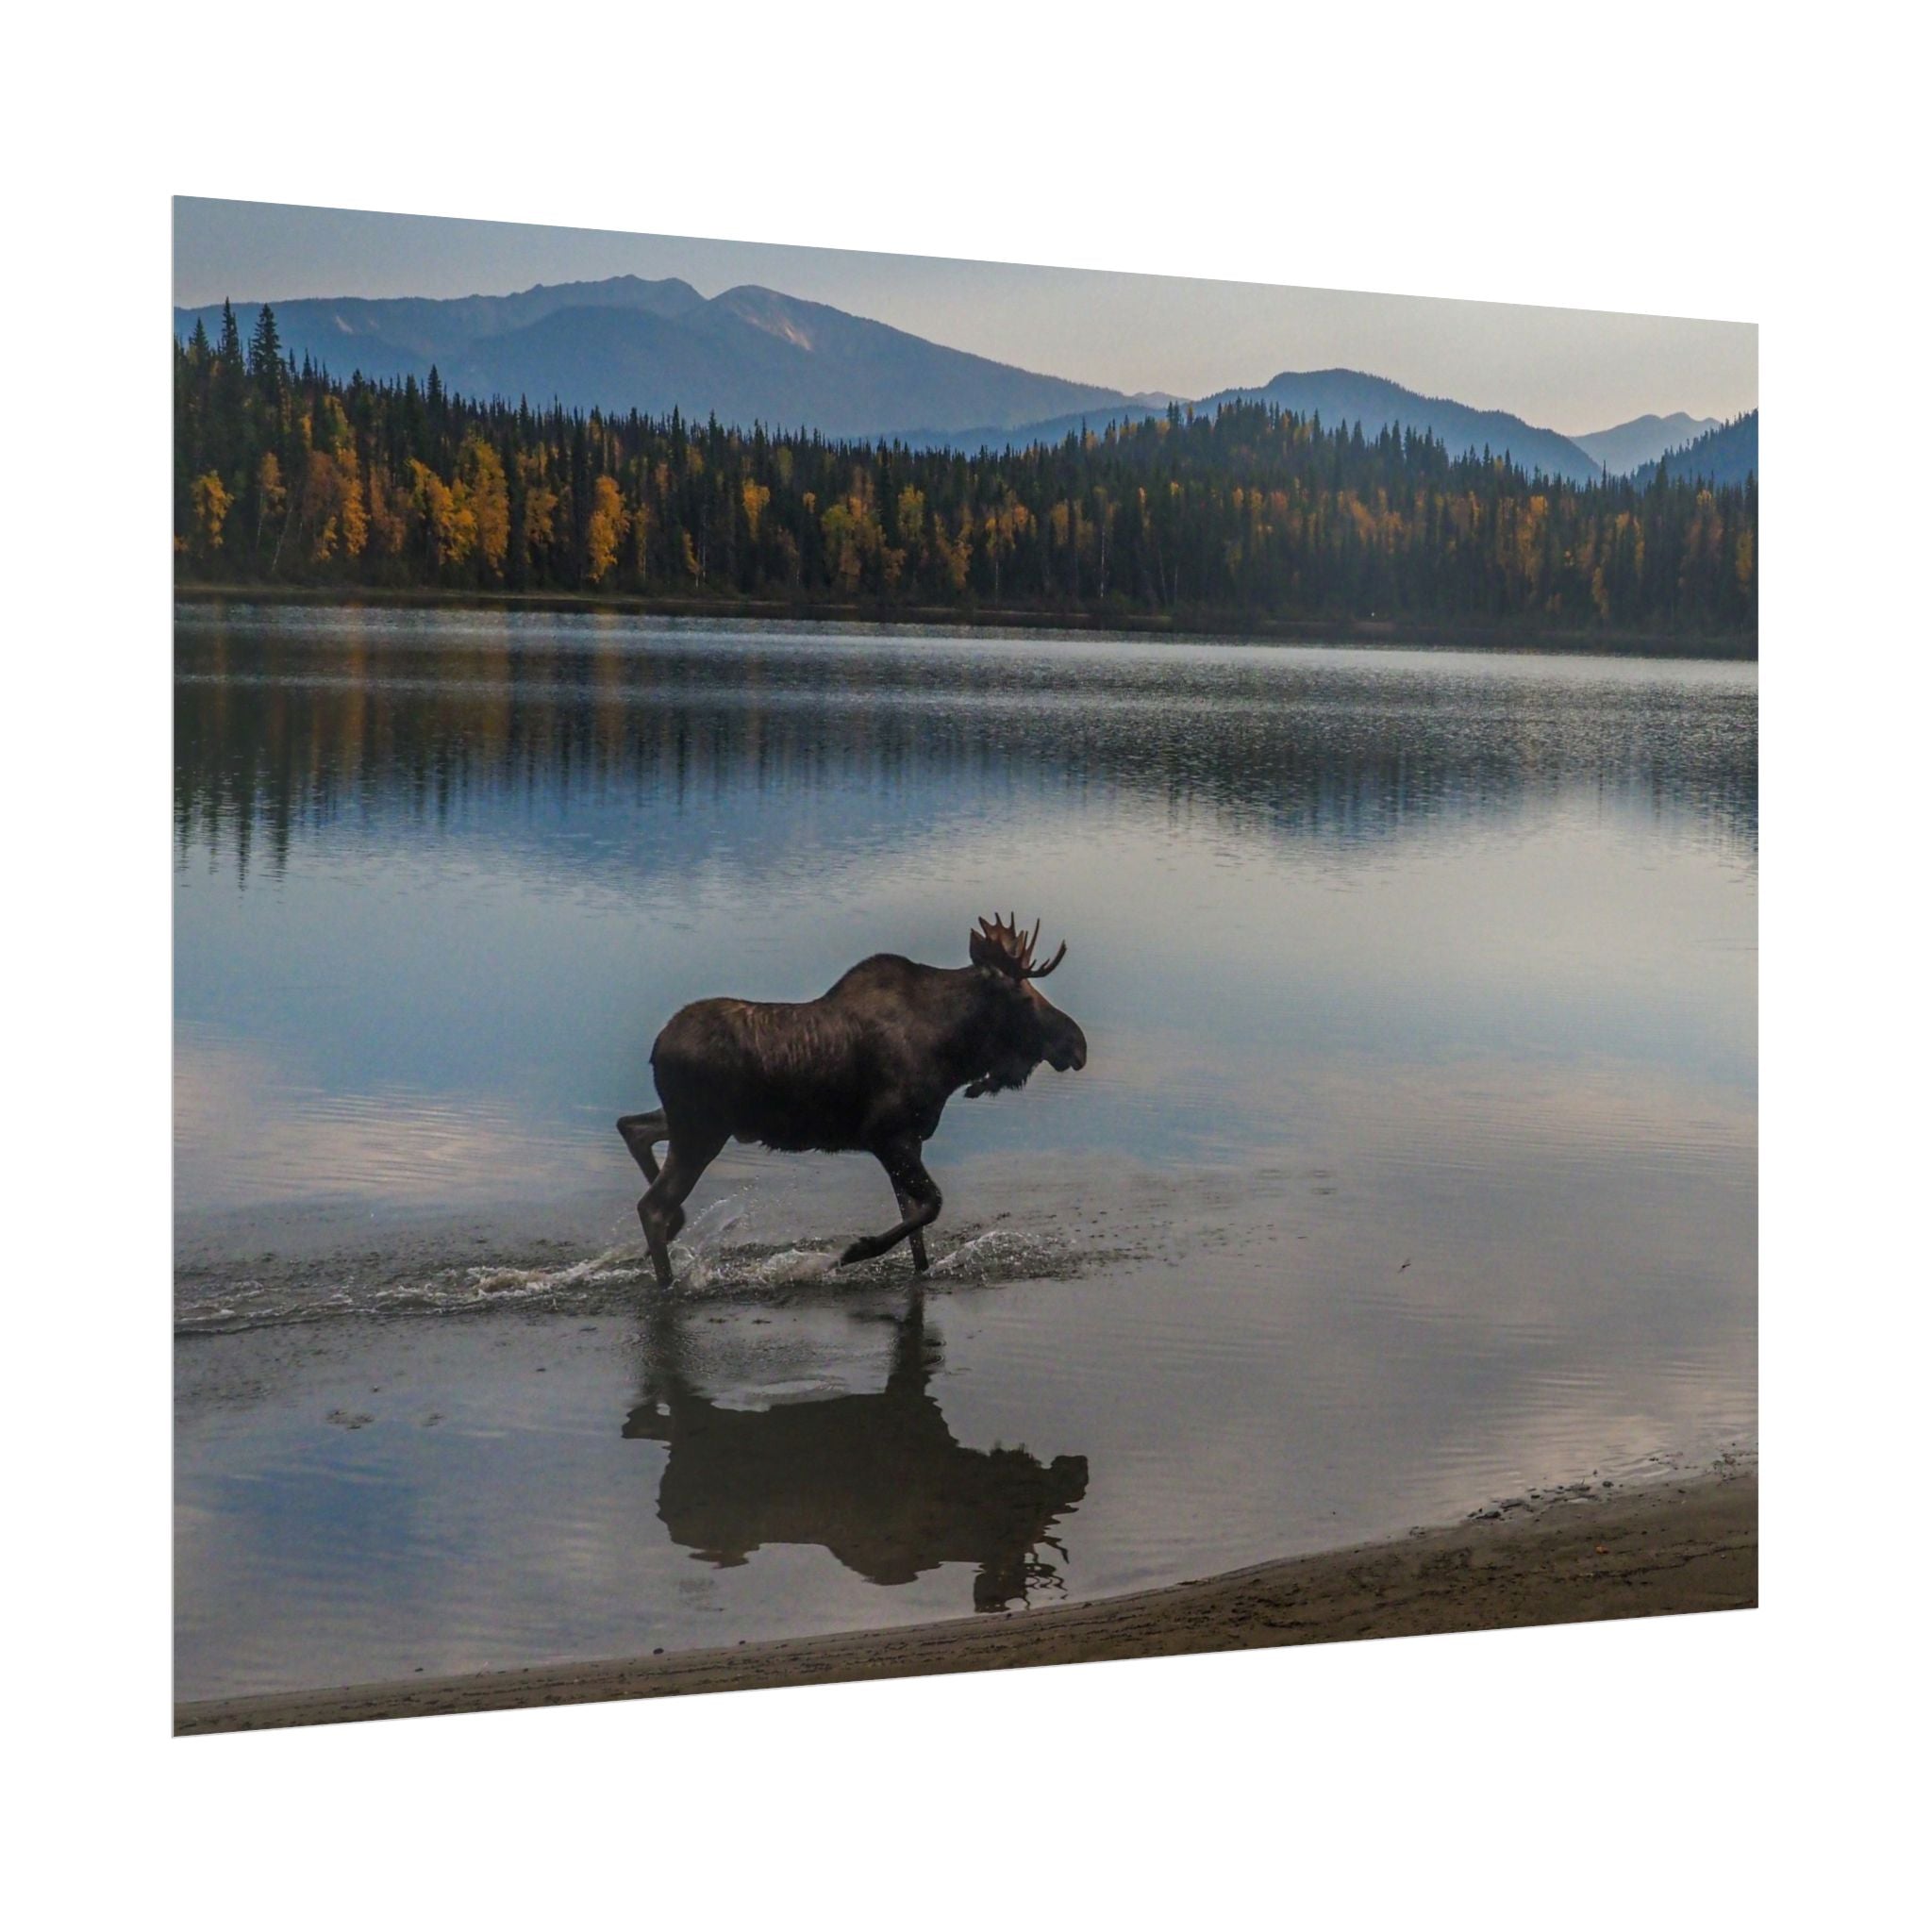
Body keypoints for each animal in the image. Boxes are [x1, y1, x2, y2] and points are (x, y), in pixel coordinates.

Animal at [617, 915, 1088, 1288]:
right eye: (1024, 997)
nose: (1078, 1044)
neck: (952, 1054)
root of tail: (656, 1049)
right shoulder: (886, 1135)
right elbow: (931, 1205)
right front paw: (853, 1251)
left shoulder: (909, 1141)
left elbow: (916, 1228)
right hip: (701, 1131)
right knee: (651, 1205)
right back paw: (667, 1279)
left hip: (696, 1124)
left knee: (633, 1128)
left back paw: (674, 1229)